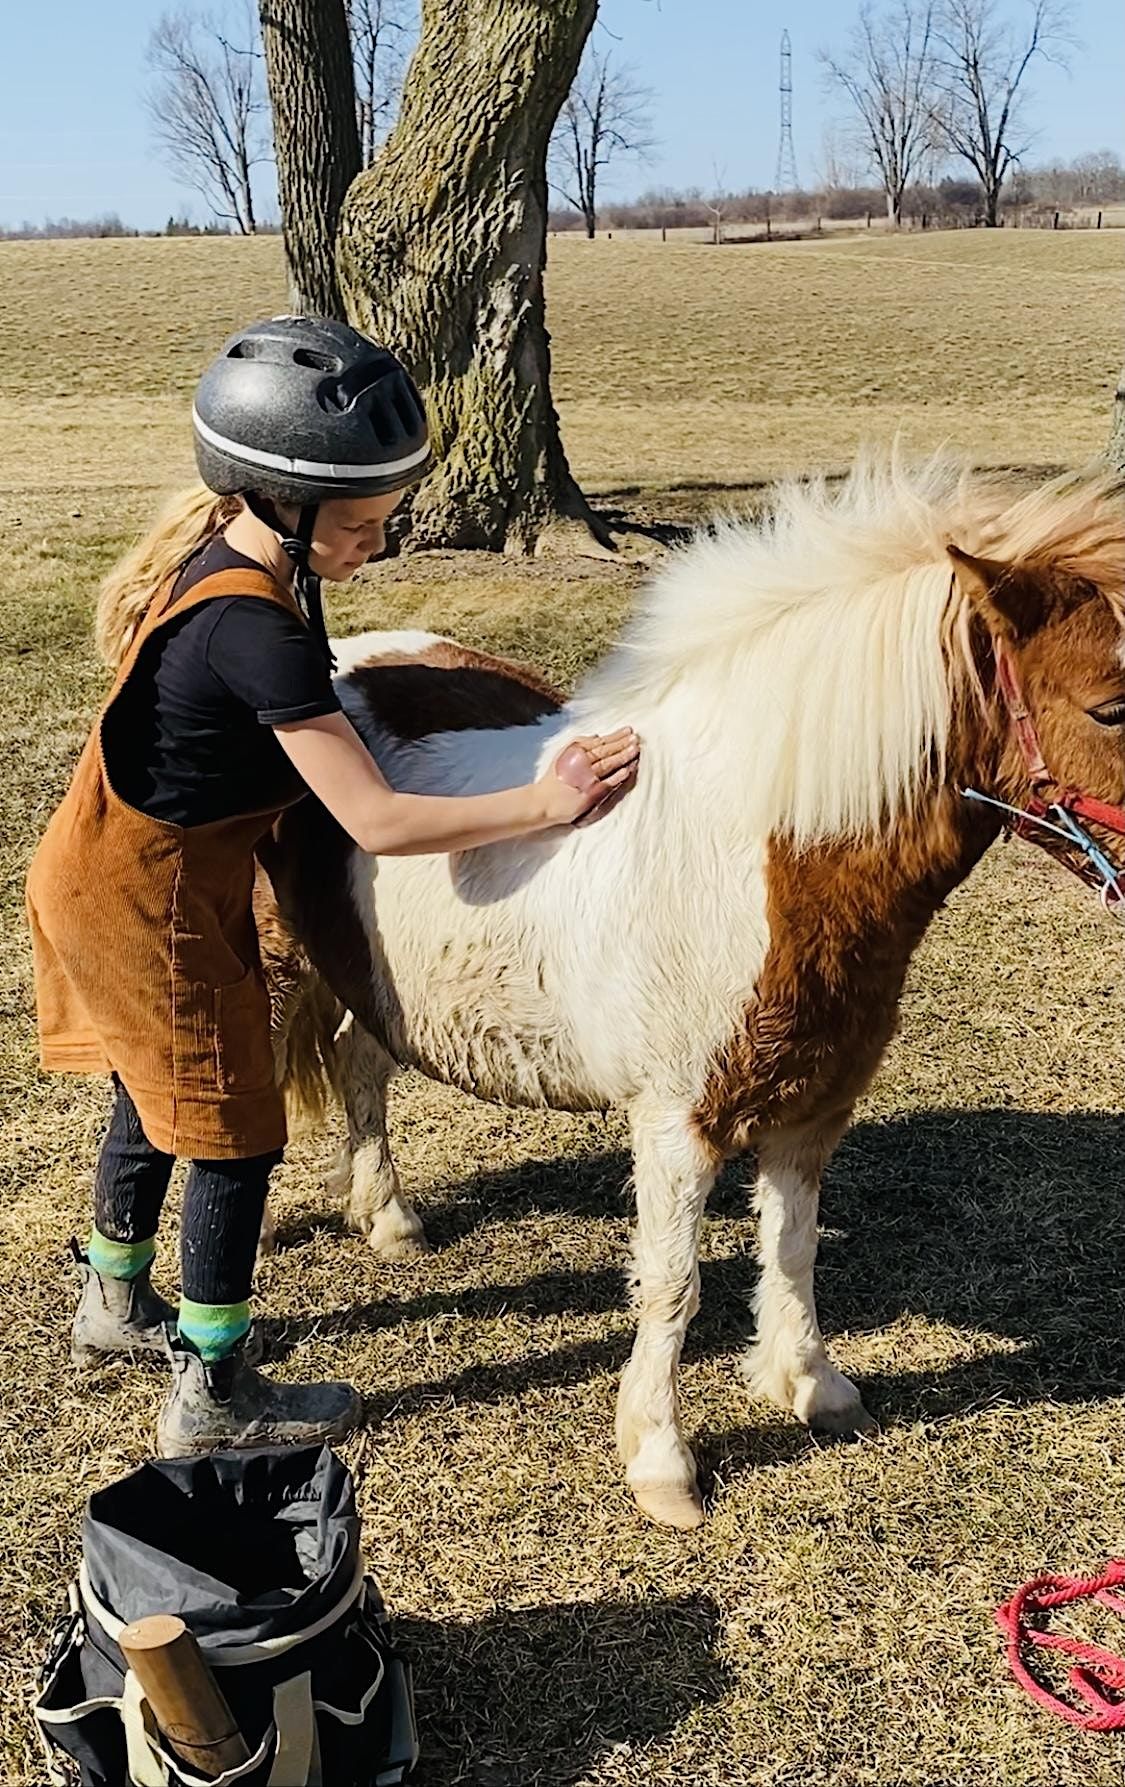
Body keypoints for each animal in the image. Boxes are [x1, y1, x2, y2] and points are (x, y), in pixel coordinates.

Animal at [257, 453, 1125, 1530]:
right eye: (1110, 707)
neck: (756, 856)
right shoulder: (677, 1119)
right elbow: (672, 1284)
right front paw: (661, 1458)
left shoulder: (811, 1106)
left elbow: (791, 1248)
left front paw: (812, 1385)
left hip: (381, 980)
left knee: (358, 1064)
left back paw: (387, 1219)